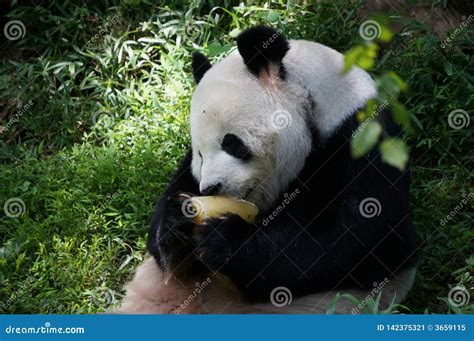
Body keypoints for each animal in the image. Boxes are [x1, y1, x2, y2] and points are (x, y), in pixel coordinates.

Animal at [117, 25, 418, 314]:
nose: (211, 188)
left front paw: (225, 240)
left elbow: (365, 240)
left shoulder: (361, 138)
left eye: (231, 143)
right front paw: (175, 220)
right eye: (200, 155)